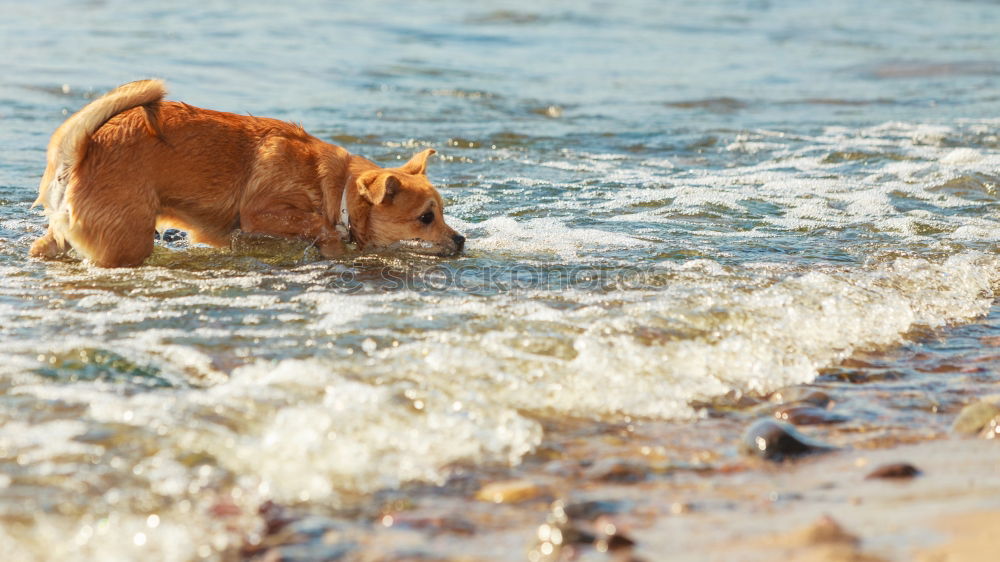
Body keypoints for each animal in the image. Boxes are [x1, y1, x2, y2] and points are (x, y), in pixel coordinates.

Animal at [28, 78, 464, 266]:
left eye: (443, 213)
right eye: (426, 218)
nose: (461, 240)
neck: (337, 187)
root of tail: (80, 152)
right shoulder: (260, 213)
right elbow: (321, 227)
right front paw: (333, 247)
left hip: (62, 235)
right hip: (129, 241)